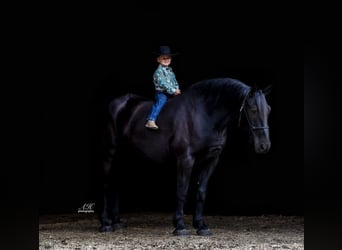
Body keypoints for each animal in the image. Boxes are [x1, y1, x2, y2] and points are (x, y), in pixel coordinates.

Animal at [99, 77, 272, 235]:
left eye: (268, 109)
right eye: (253, 109)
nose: (264, 145)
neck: (204, 114)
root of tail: (118, 104)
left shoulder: (212, 160)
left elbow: (201, 191)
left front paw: (201, 226)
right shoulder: (185, 160)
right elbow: (182, 191)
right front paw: (180, 226)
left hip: (124, 156)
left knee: (116, 183)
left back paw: (116, 222)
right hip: (110, 153)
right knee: (107, 184)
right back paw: (105, 224)